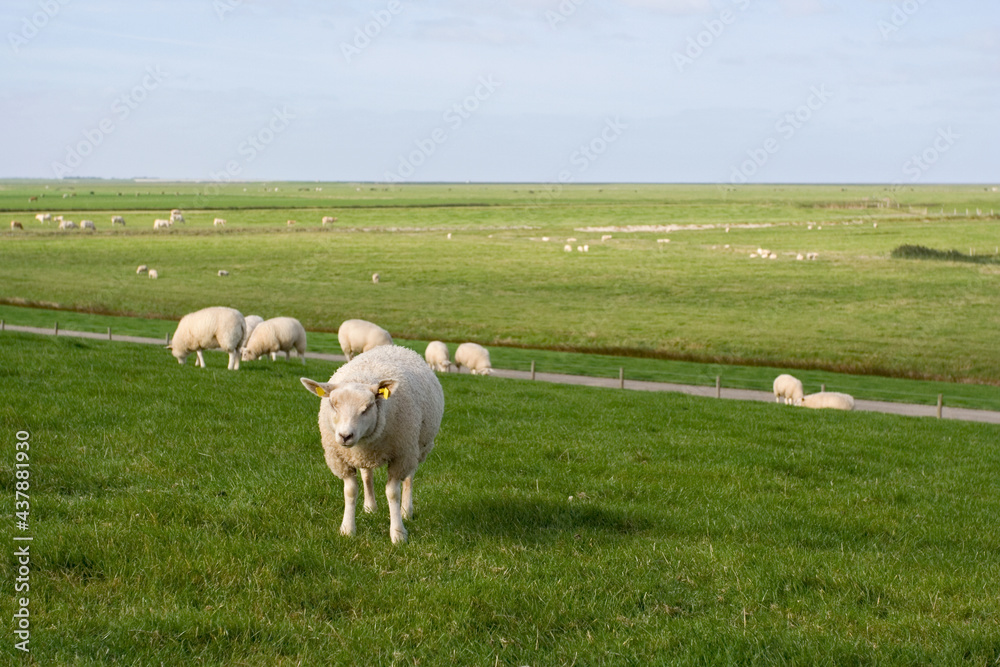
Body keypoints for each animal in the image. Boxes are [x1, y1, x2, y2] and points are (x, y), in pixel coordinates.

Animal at [298, 344, 444, 544]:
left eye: (367, 407)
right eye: (333, 405)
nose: (345, 436)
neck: (362, 376)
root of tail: (394, 346)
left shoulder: (401, 455)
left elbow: (393, 493)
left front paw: (398, 534)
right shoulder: (341, 458)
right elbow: (350, 491)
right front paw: (347, 529)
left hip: (416, 448)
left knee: (409, 478)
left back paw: (406, 511)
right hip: (367, 455)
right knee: (367, 474)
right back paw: (370, 507)